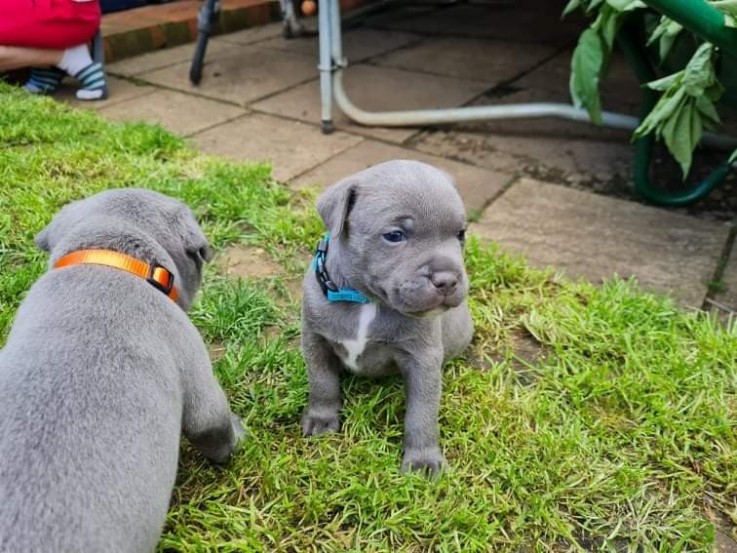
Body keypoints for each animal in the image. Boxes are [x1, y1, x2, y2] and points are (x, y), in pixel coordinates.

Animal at [302, 157, 474, 472]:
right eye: (395, 236)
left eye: (460, 234)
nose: (447, 279)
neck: (368, 301)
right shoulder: (315, 339)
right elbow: (322, 382)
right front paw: (321, 419)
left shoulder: (422, 359)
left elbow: (421, 413)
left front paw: (422, 460)